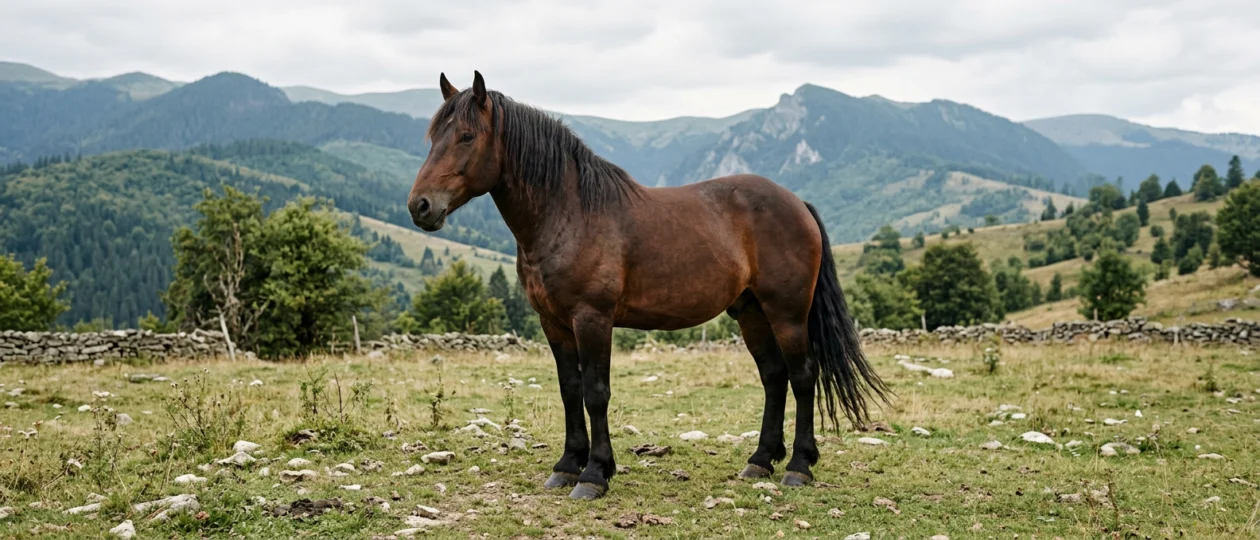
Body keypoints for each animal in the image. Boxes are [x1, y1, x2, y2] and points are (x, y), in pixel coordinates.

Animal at [407, 71, 891, 500]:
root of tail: (797, 203)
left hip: (786, 312)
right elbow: (569, 391)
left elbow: (596, 393)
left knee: (803, 375)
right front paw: (566, 466)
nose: (420, 206)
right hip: (750, 311)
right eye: (432, 137)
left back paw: (799, 467)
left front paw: (594, 475)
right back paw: (759, 461)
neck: (570, 214)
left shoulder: (592, 319)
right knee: (774, 376)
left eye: (466, 136)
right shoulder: (554, 324)